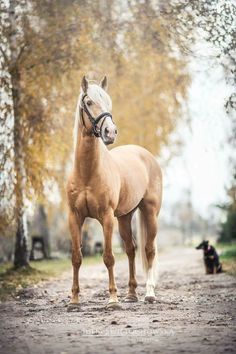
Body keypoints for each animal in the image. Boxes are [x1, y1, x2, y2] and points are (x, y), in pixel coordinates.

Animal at [66, 76, 162, 308]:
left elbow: (109, 257)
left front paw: (112, 300)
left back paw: (149, 294)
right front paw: (74, 300)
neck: (87, 172)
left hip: (150, 212)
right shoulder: (75, 217)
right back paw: (131, 294)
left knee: (149, 250)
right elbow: (76, 257)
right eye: (89, 102)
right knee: (131, 249)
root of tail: (145, 154)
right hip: (125, 217)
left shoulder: (107, 217)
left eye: (108, 102)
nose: (110, 132)